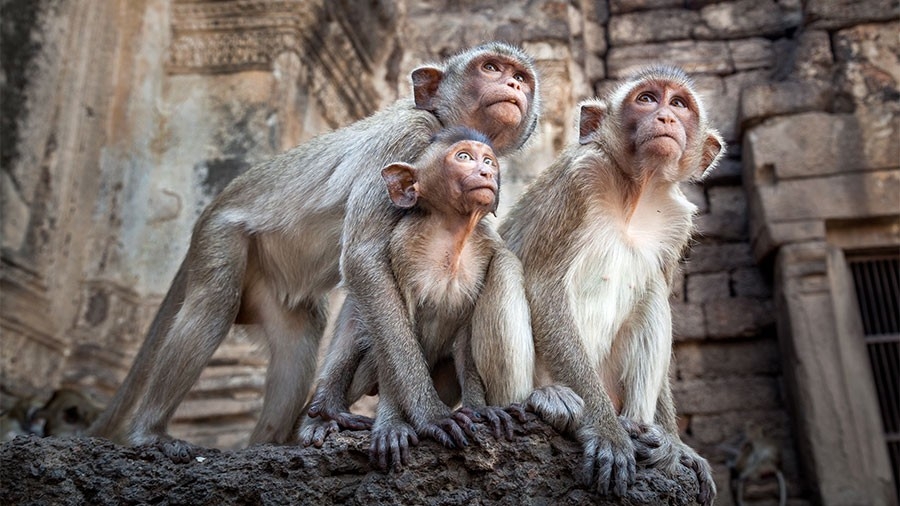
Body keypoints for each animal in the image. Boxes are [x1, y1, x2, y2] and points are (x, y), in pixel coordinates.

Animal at [298, 128, 536, 468]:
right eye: (464, 157)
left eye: (489, 160)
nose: (487, 172)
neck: (451, 234)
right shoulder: (402, 247)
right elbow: (391, 326)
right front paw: (403, 422)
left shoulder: (486, 247)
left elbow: (466, 338)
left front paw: (479, 408)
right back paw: (325, 413)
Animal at [500, 65, 724, 504]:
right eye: (647, 99)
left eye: (679, 104)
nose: (665, 117)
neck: (635, 193)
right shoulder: (579, 178)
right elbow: (544, 285)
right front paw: (607, 433)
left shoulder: (677, 223)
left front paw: (678, 446)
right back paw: (549, 399)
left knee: (653, 298)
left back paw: (645, 433)